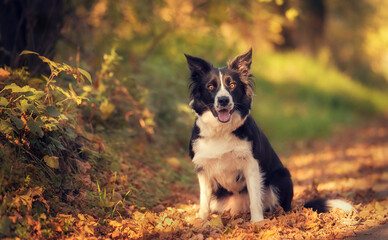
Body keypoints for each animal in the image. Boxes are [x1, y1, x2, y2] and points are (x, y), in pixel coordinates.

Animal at [185, 49, 354, 223]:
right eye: (211, 86)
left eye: (232, 85)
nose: (224, 100)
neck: (221, 131)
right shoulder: (203, 168)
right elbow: (204, 200)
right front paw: (201, 221)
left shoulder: (251, 164)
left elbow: (255, 199)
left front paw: (257, 222)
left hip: (282, 178)